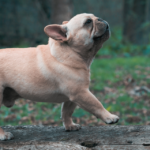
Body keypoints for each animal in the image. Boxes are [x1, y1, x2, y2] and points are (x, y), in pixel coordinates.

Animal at [0, 13, 119, 141]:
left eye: (94, 17)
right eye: (88, 22)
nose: (100, 19)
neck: (71, 52)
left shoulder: (72, 97)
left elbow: (66, 112)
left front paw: (70, 126)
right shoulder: (80, 93)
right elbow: (96, 105)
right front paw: (109, 117)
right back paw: (3, 135)